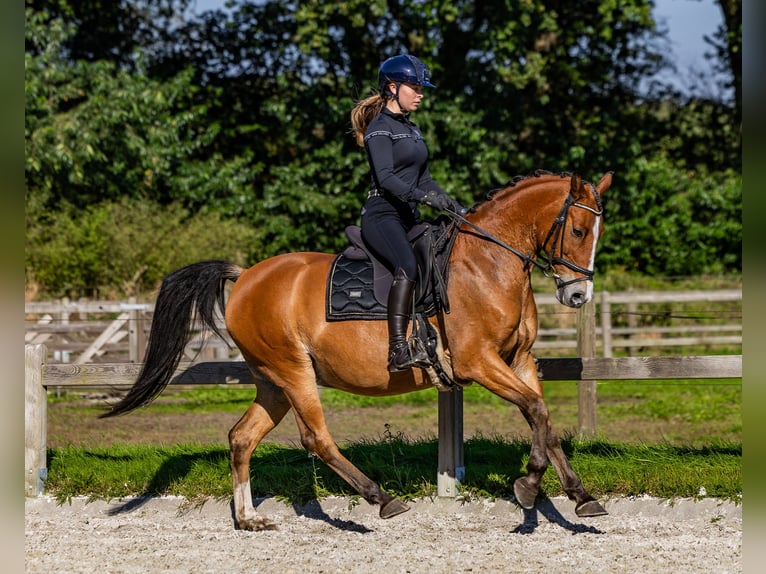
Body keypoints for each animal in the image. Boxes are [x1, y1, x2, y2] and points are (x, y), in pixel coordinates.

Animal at [102, 170, 616, 532]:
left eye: (598, 231)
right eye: (576, 229)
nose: (577, 295)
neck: (489, 263)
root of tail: (245, 275)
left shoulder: (519, 362)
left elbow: (544, 419)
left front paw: (578, 496)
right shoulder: (479, 363)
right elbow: (536, 411)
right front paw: (529, 484)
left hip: (272, 381)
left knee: (242, 437)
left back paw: (249, 518)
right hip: (294, 372)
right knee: (316, 439)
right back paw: (381, 498)